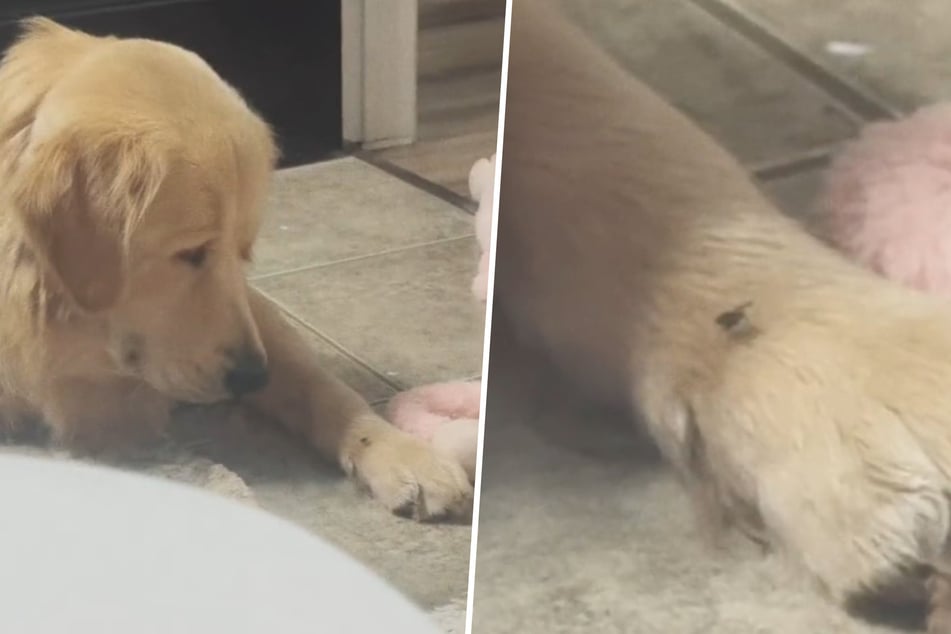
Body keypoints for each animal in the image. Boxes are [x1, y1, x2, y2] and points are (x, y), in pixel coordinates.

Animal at [0, 19, 472, 520]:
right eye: (191, 252)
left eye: (242, 251)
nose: (251, 378)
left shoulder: (252, 311)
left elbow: (322, 385)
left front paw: (401, 451)